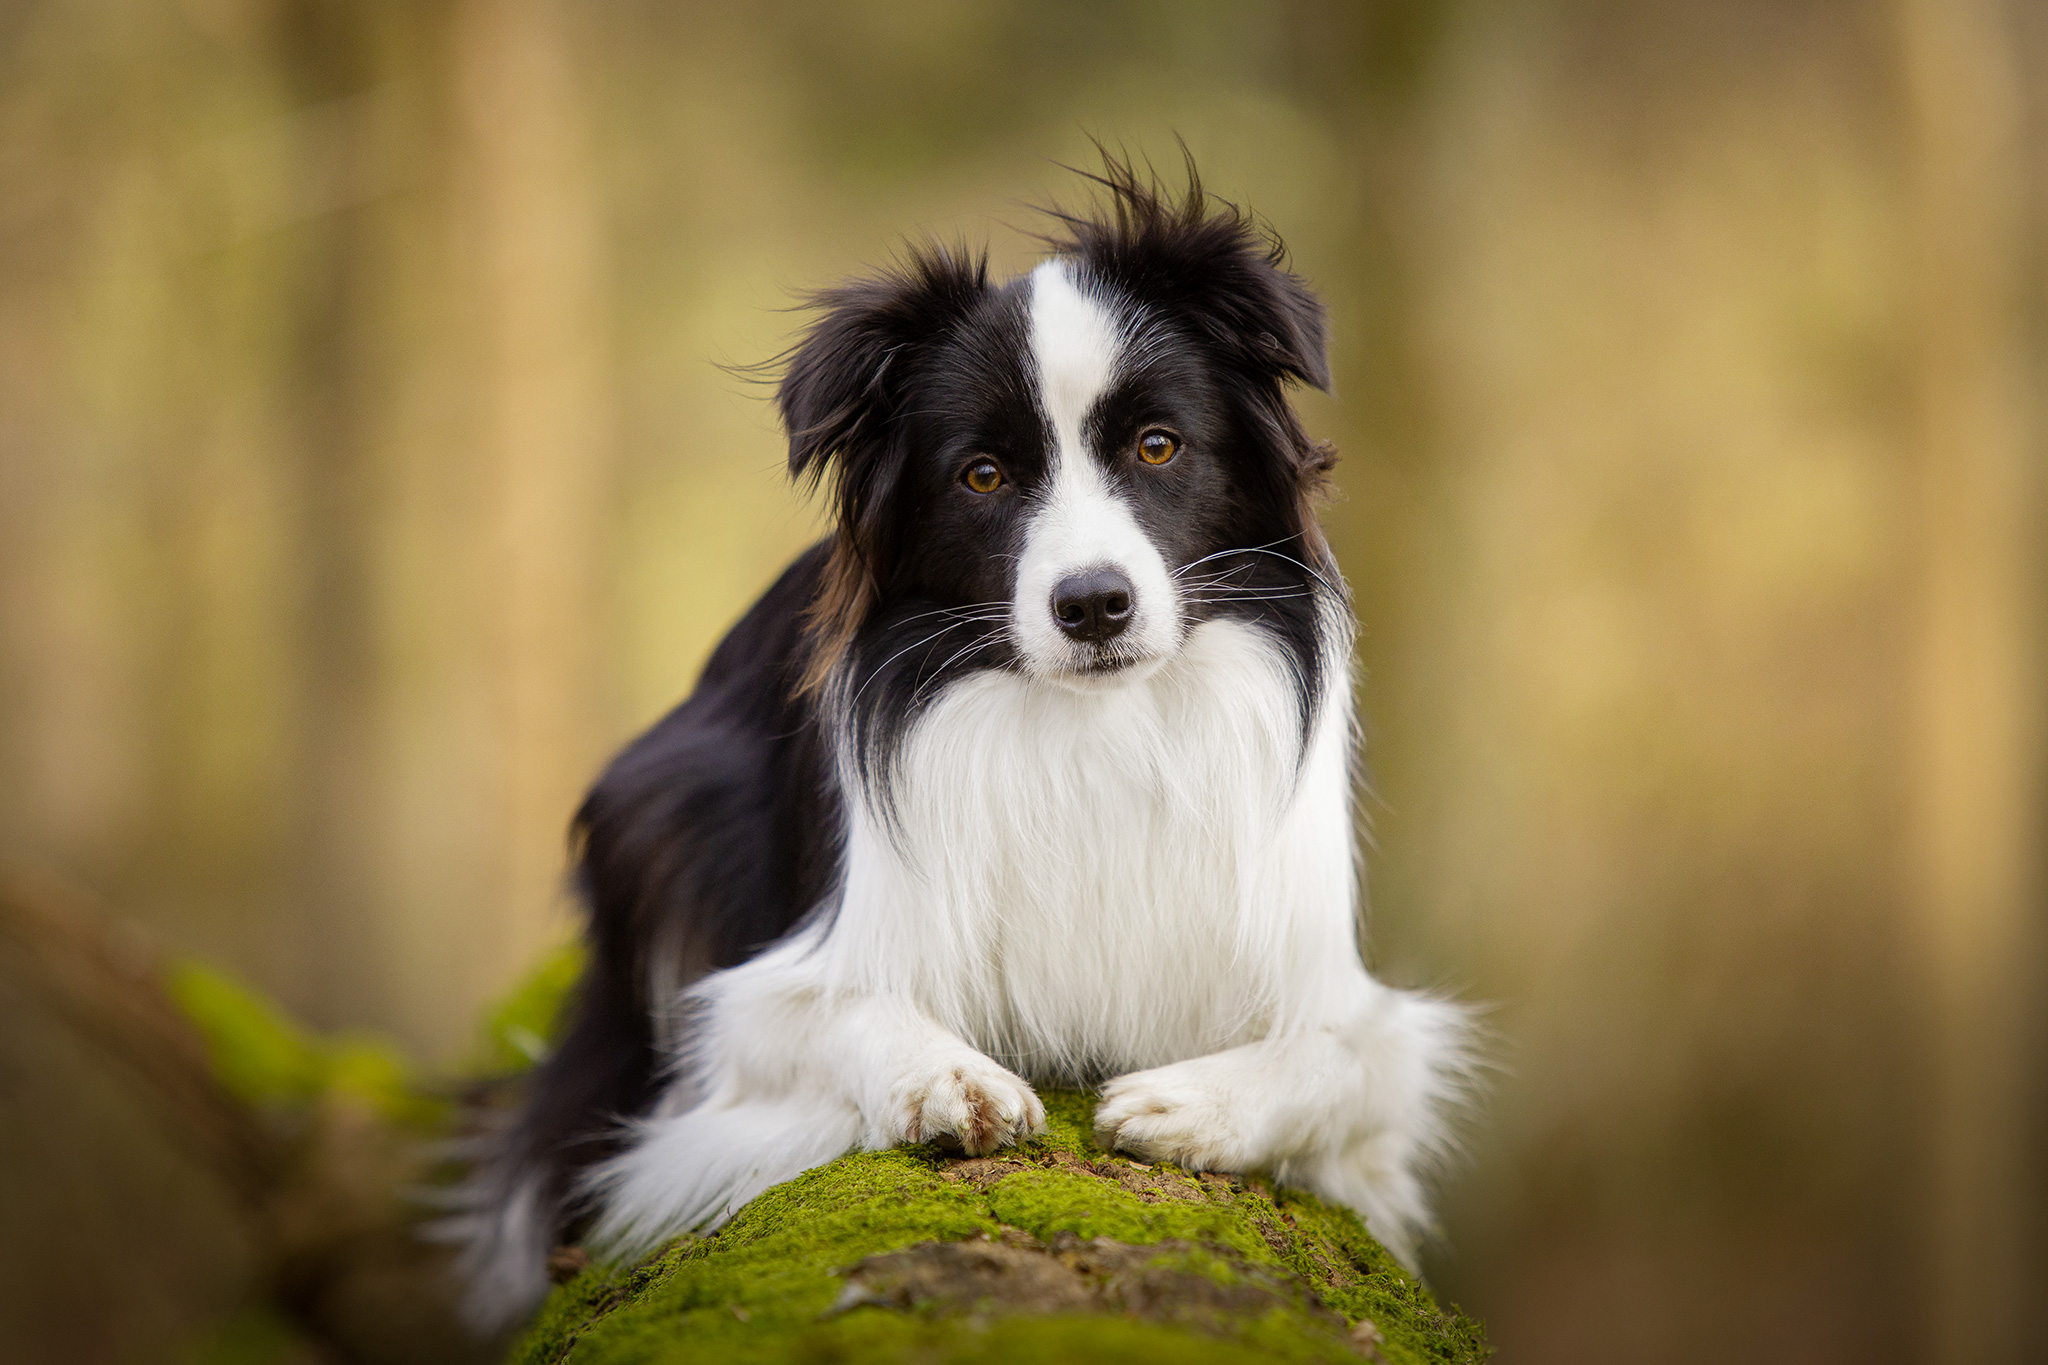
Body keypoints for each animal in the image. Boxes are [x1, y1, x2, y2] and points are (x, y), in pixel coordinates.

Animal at [450, 157, 1474, 1326]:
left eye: (1157, 446)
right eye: (982, 475)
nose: (1093, 605)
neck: (1093, 727)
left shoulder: (1357, 1015)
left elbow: (1339, 1058)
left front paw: (1195, 1102)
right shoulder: (755, 1002)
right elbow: (844, 1013)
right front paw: (947, 1078)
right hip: (662, 801)